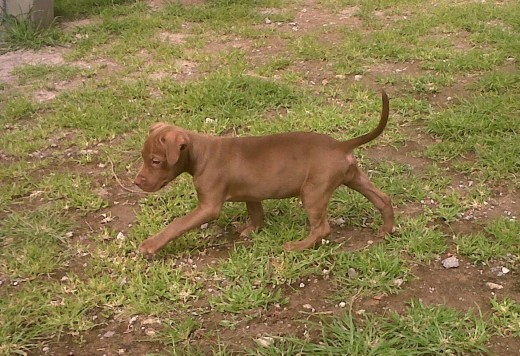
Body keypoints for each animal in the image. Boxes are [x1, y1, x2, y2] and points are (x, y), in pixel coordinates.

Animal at [134, 90, 394, 254]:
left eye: (156, 161)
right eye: (143, 157)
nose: (137, 182)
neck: (200, 154)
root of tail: (341, 145)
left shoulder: (209, 207)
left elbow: (177, 224)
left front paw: (151, 245)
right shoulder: (251, 194)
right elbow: (256, 213)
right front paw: (252, 230)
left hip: (313, 191)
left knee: (322, 228)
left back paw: (297, 247)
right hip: (353, 177)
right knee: (383, 198)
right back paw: (387, 229)